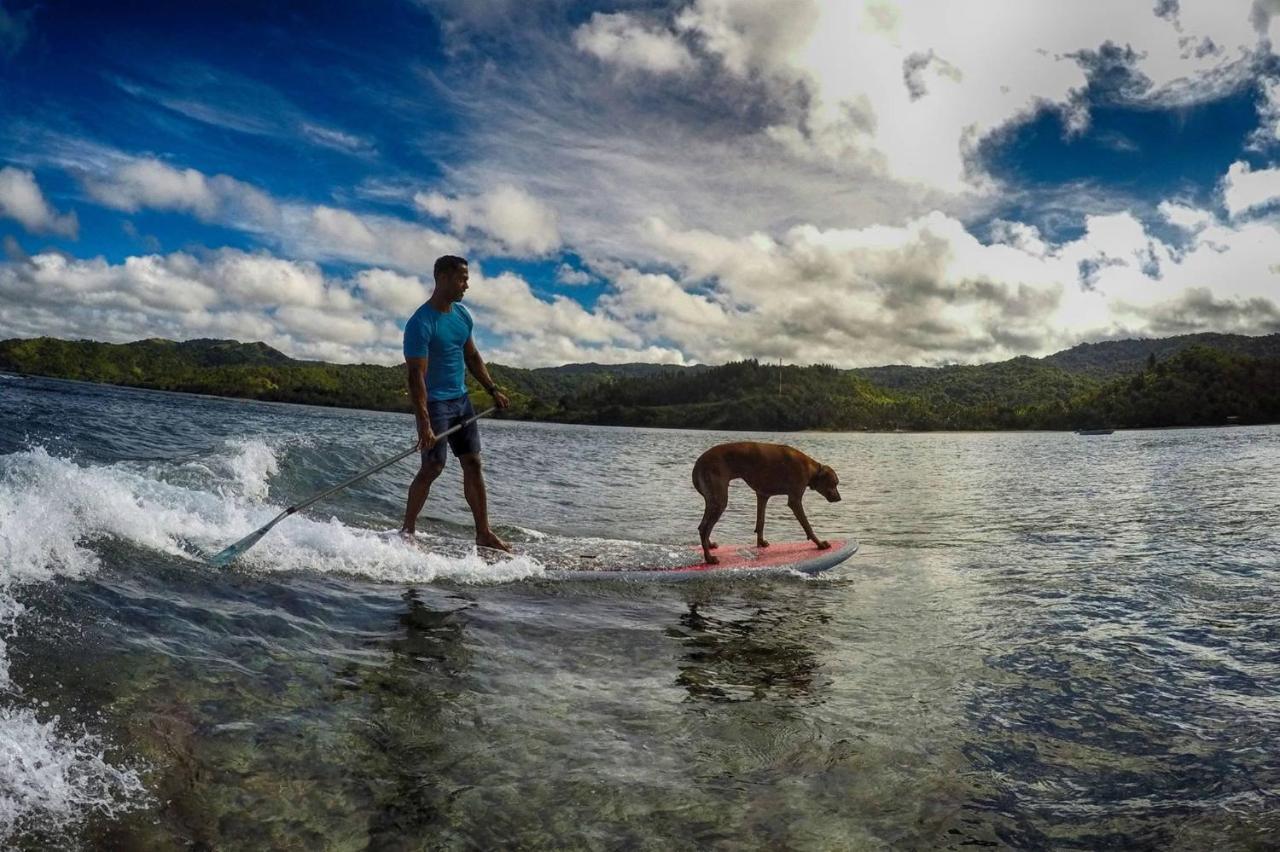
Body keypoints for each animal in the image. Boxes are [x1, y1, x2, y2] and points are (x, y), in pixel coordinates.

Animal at [691, 440, 839, 560]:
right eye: (834, 483)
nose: (839, 498)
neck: (811, 468)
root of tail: (699, 462)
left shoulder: (762, 496)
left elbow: (760, 522)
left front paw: (761, 543)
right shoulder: (795, 501)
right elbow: (807, 525)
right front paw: (820, 544)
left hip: (713, 500)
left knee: (703, 527)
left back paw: (709, 545)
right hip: (720, 501)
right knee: (704, 528)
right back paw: (709, 559)